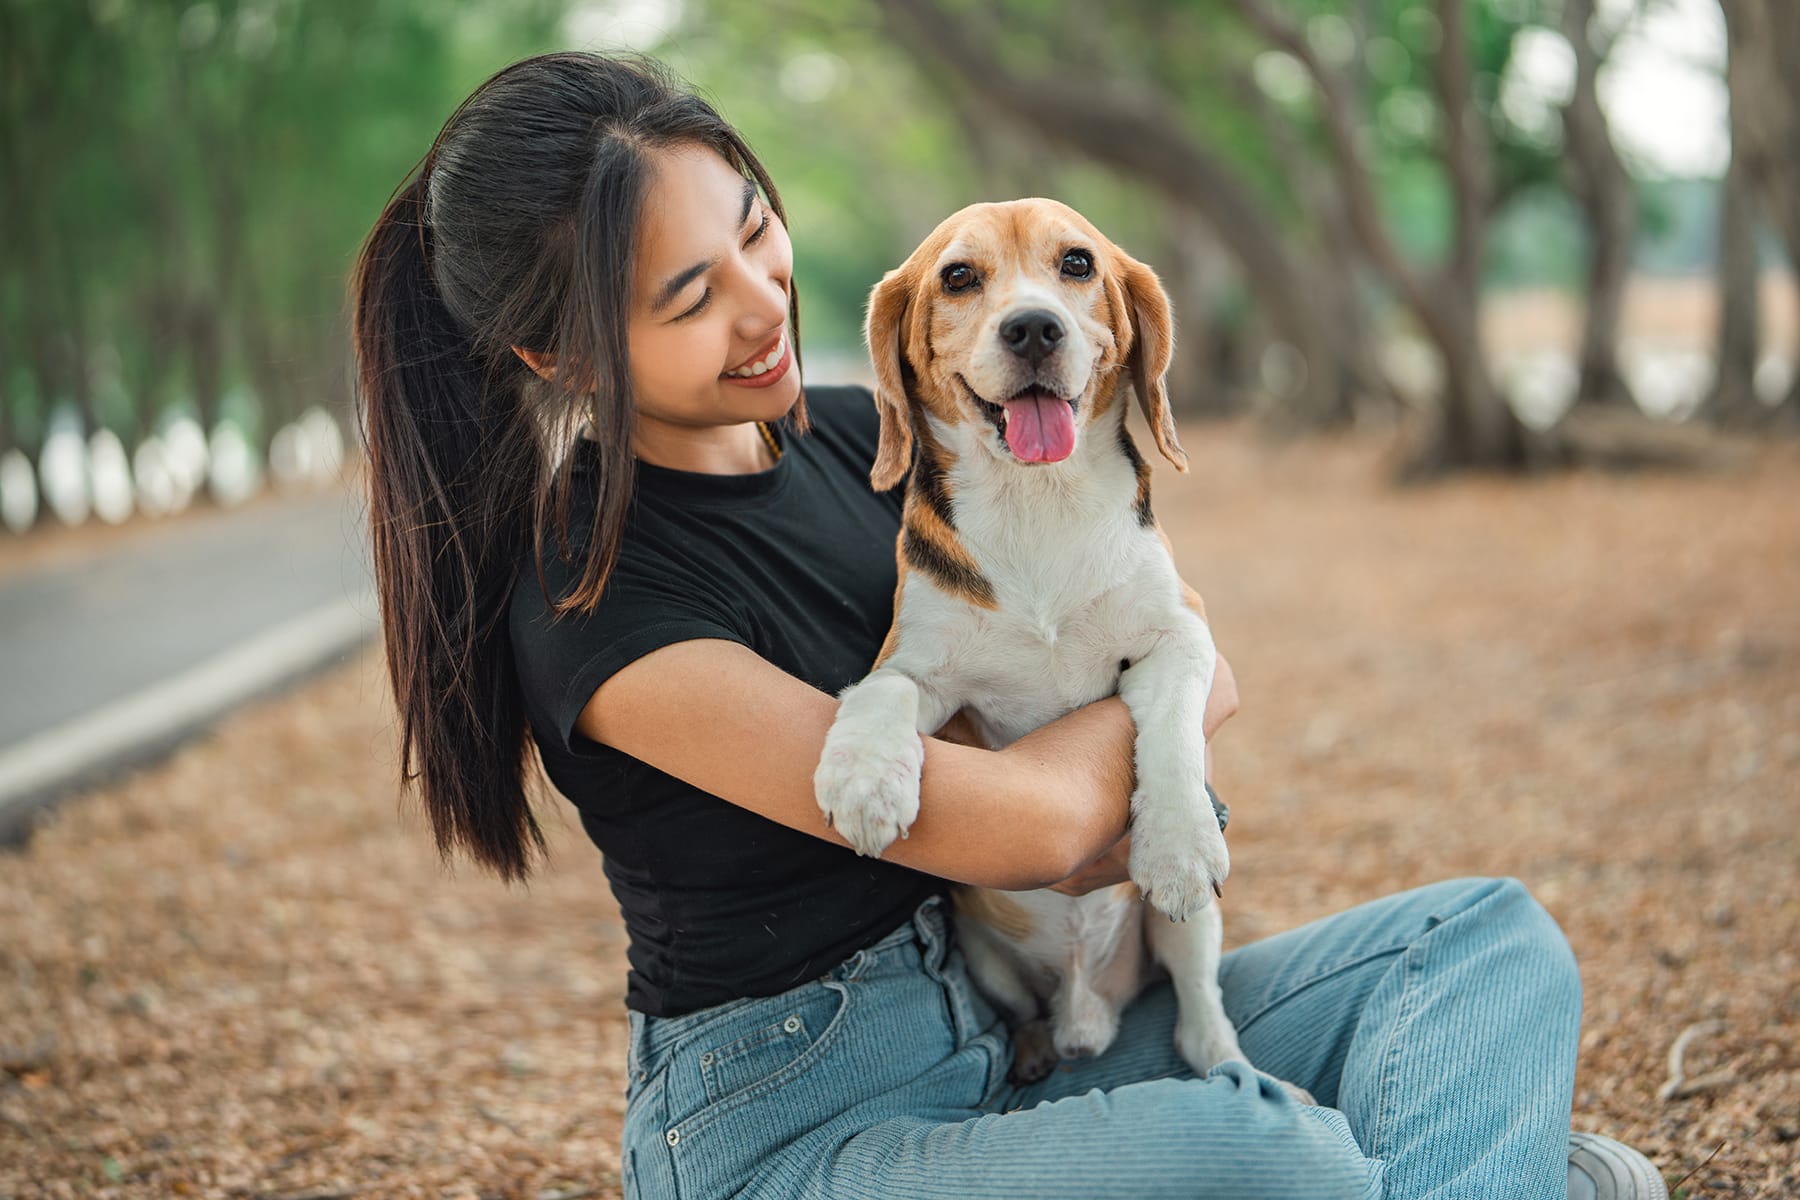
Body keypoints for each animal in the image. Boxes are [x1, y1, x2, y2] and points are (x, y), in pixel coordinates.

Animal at [820, 201, 1252, 1086]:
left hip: (1191, 935)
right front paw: (867, 782)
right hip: (986, 962)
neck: (1038, 500)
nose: (1032, 328)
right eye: (958, 276)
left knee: (1198, 1011)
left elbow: (1171, 733)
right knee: (1028, 1015)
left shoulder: (1183, 633)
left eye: (1077, 263)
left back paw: (1227, 1062)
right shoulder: (920, 667)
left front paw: (1177, 845)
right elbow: (881, 693)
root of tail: (1089, 1007)